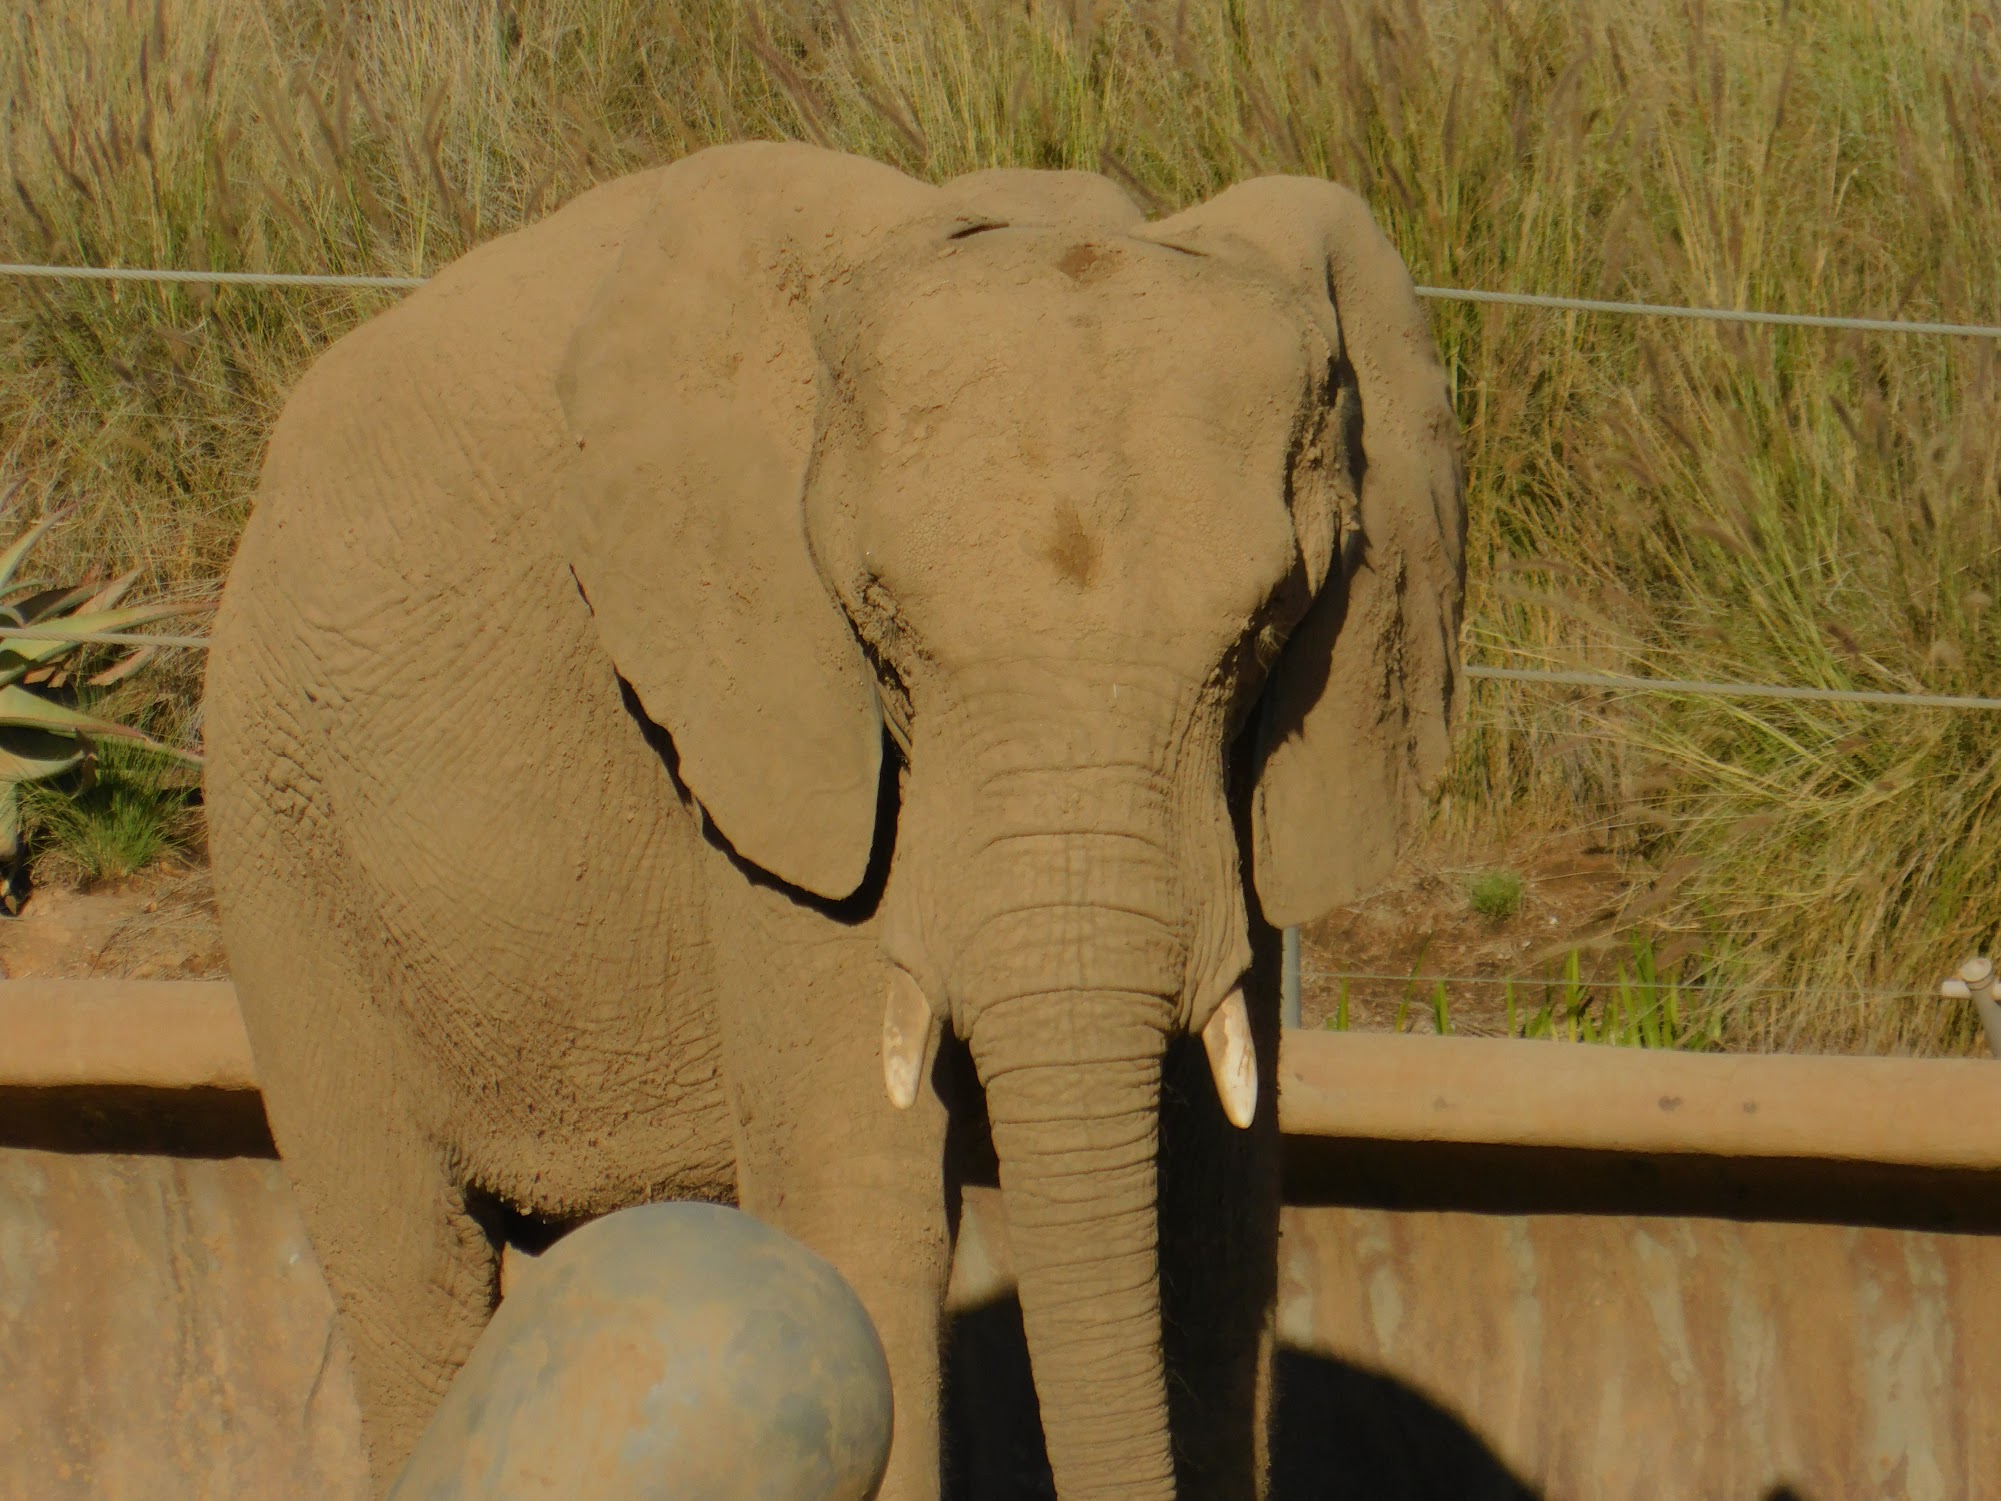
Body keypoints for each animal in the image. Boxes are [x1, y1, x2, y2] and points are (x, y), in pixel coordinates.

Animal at [203, 141, 1464, 1501]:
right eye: (882, 631)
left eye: (1270, 627)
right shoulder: (771, 727)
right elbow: (864, 1203)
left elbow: (1214, 1227)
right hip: (280, 830)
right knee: (411, 1270)